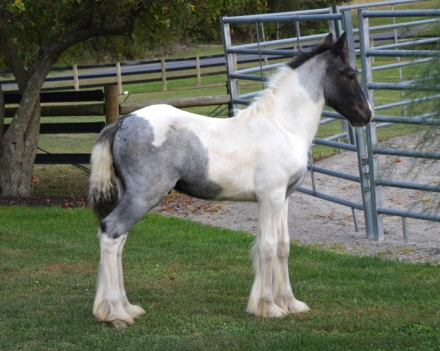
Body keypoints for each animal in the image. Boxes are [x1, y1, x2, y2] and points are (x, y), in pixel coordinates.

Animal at [88, 31, 372, 328]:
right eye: (350, 74)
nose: (367, 115)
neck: (283, 126)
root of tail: (122, 122)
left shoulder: (283, 198)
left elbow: (283, 247)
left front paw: (290, 303)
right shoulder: (269, 198)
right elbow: (267, 247)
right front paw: (268, 307)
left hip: (130, 195)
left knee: (119, 240)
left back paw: (125, 308)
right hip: (144, 196)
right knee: (111, 232)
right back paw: (116, 313)